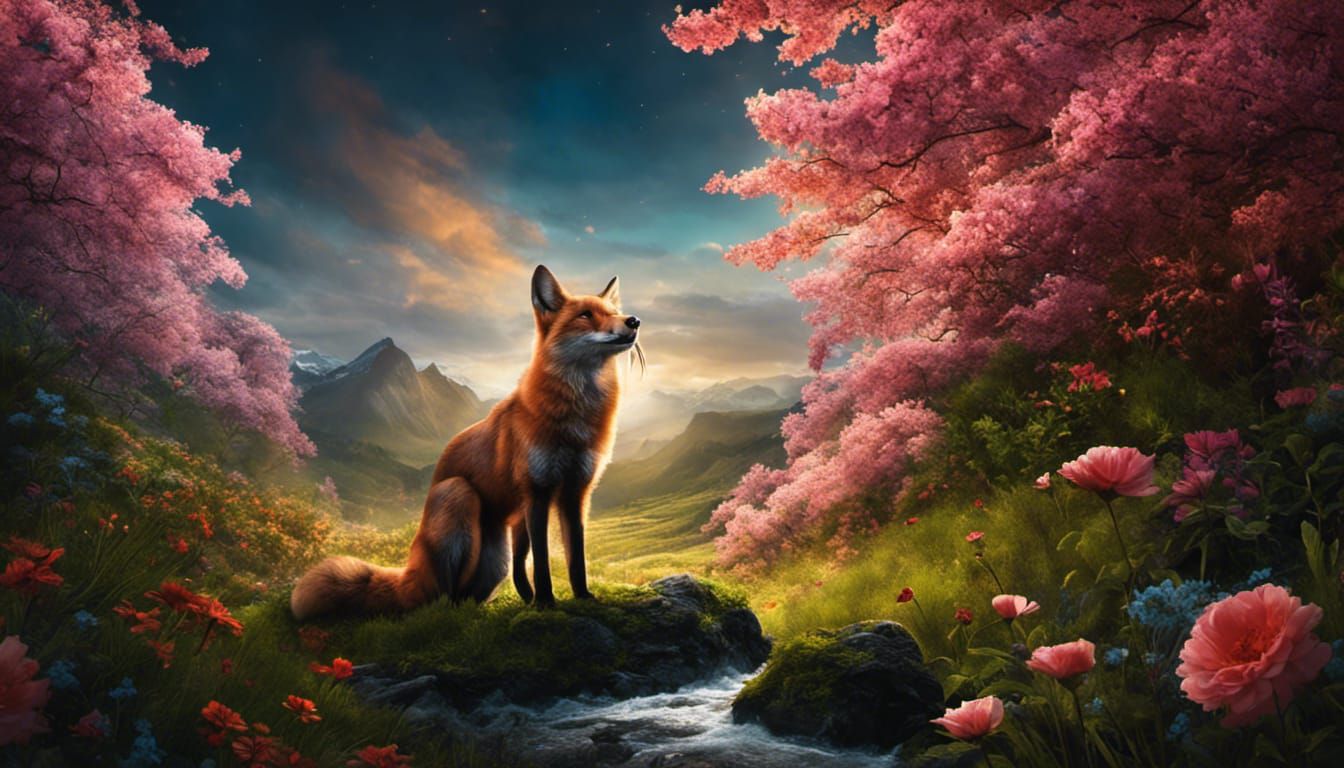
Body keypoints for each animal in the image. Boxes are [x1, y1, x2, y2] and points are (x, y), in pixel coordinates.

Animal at [290, 265, 641, 618]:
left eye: (614, 312)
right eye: (585, 315)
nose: (634, 321)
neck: (574, 418)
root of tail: (410, 574)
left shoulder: (576, 492)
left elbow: (576, 558)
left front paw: (583, 597)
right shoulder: (536, 489)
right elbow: (541, 561)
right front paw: (544, 602)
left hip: (496, 562)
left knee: (473, 590)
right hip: (458, 495)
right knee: (441, 597)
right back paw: (451, 610)